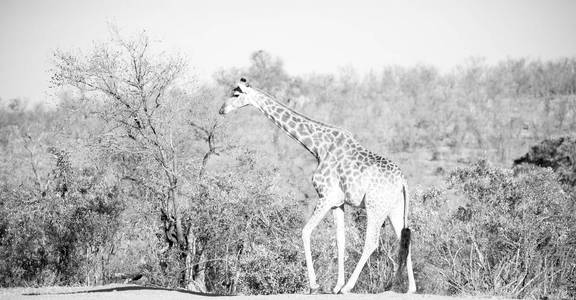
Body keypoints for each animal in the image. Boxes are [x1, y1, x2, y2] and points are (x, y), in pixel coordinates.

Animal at [218, 77, 416, 292]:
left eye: (236, 94)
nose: (221, 110)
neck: (318, 146)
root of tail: (403, 180)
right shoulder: (338, 202)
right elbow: (340, 240)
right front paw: (336, 286)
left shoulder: (326, 196)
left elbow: (305, 231)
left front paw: (315, 284)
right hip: (395, 208)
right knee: (404, 239)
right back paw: (408, 288)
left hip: (375, 206)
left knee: (372, 242)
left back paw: (350, 288)